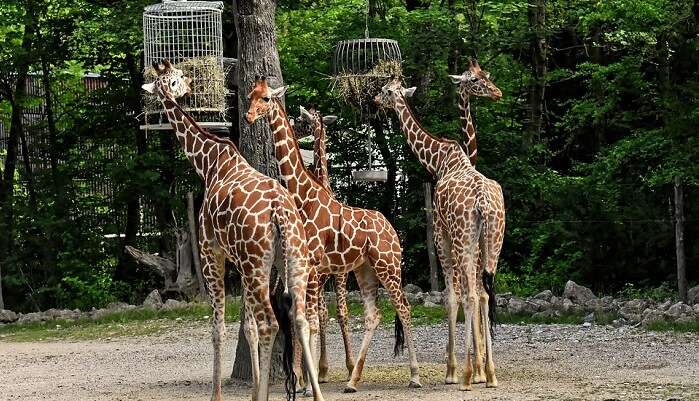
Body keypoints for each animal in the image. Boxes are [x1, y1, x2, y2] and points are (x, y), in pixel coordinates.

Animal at [143, 60, 328, 401]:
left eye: (176, 77)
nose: (190, 83)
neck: (208, 164)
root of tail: (280, 212)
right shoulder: (240, 263)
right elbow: (249, 327)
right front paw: (254, 389)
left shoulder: (211, 252)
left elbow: (219, 328)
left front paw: (220, 394)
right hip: (291, 260)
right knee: (299, 319)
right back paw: (315, 393)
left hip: (257, 264)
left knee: (271, 323)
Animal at [246, 78, 422, 390]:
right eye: (249, 96)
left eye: (266, 98)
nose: (249, 116)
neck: (303, 196)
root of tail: (392, 228)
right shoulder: (305, 268)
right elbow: (304, 318)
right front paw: (305, 379)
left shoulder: (316, 268)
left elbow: (314, 320)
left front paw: (310, 381)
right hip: (364, 270)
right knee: (373, 315)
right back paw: (352, 380)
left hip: (388, 266)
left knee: (403, 307)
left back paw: (413, 375)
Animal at [374, 76, 506, 390]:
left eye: (386, 91)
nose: (374, 99)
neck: (440, 161)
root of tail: (483, 202)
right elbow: (471, 296)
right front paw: (476, 368)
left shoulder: (440, 235)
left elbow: (451, 297)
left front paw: (452, 370)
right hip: (492, 243)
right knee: (484, 294)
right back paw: (490, 374)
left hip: (463, 241)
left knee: (471, 296)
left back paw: (469, 375)